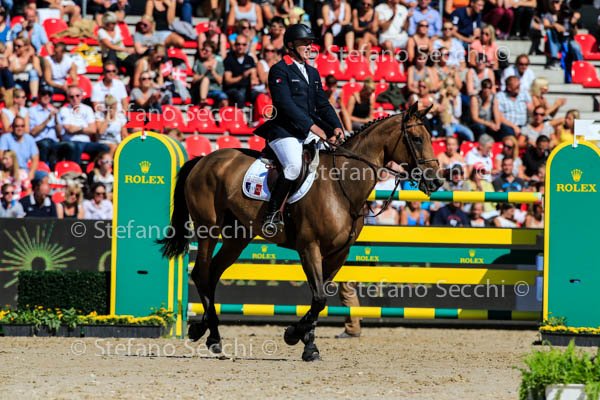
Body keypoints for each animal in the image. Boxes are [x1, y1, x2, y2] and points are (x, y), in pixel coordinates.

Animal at [158, 103, 443, 361]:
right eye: (417, 139)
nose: (436, 181)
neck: (342, 184)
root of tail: (204, 159)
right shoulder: (310, 247)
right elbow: (319, 298)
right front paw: (295, 336)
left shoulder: (338, 253)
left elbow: (320, 297)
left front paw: (306, 342)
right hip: (209, 228)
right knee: (202, 273)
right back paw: (211, 336)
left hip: (237, 236)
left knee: (214, 273)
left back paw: (205, 331)